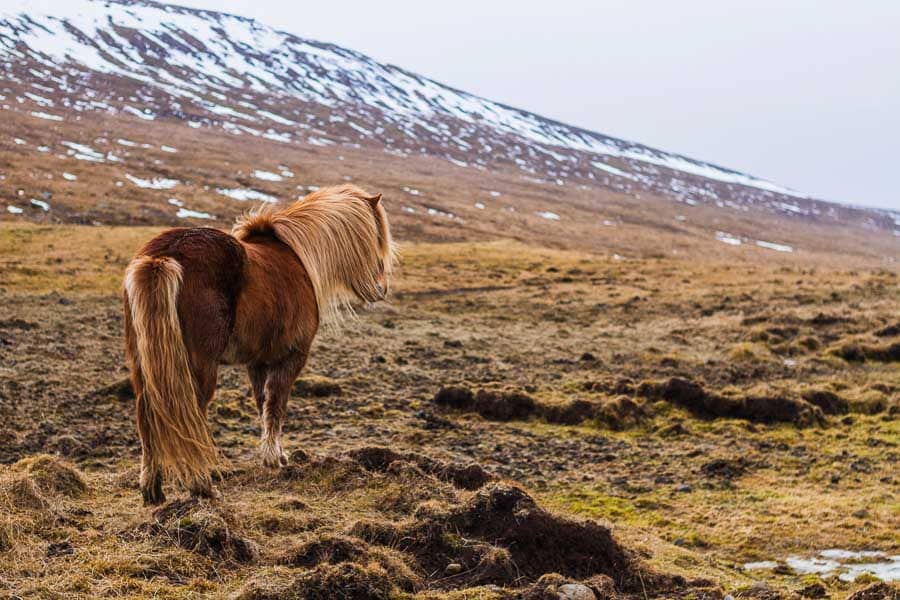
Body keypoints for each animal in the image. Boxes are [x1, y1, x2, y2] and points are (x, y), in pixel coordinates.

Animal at [122, 184, 396, 505]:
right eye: (376, 236)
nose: (381, 289)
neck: (300, 256)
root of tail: (161, 258)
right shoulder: (291, 357)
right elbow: (277, 404)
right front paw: (275, 459)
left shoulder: (258, 362)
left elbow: (262, 403)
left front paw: (273, 454)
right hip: (197, 367)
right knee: (189, 413)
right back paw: (203, 486)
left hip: (143, 364)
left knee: (146, 415)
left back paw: (152, 490)